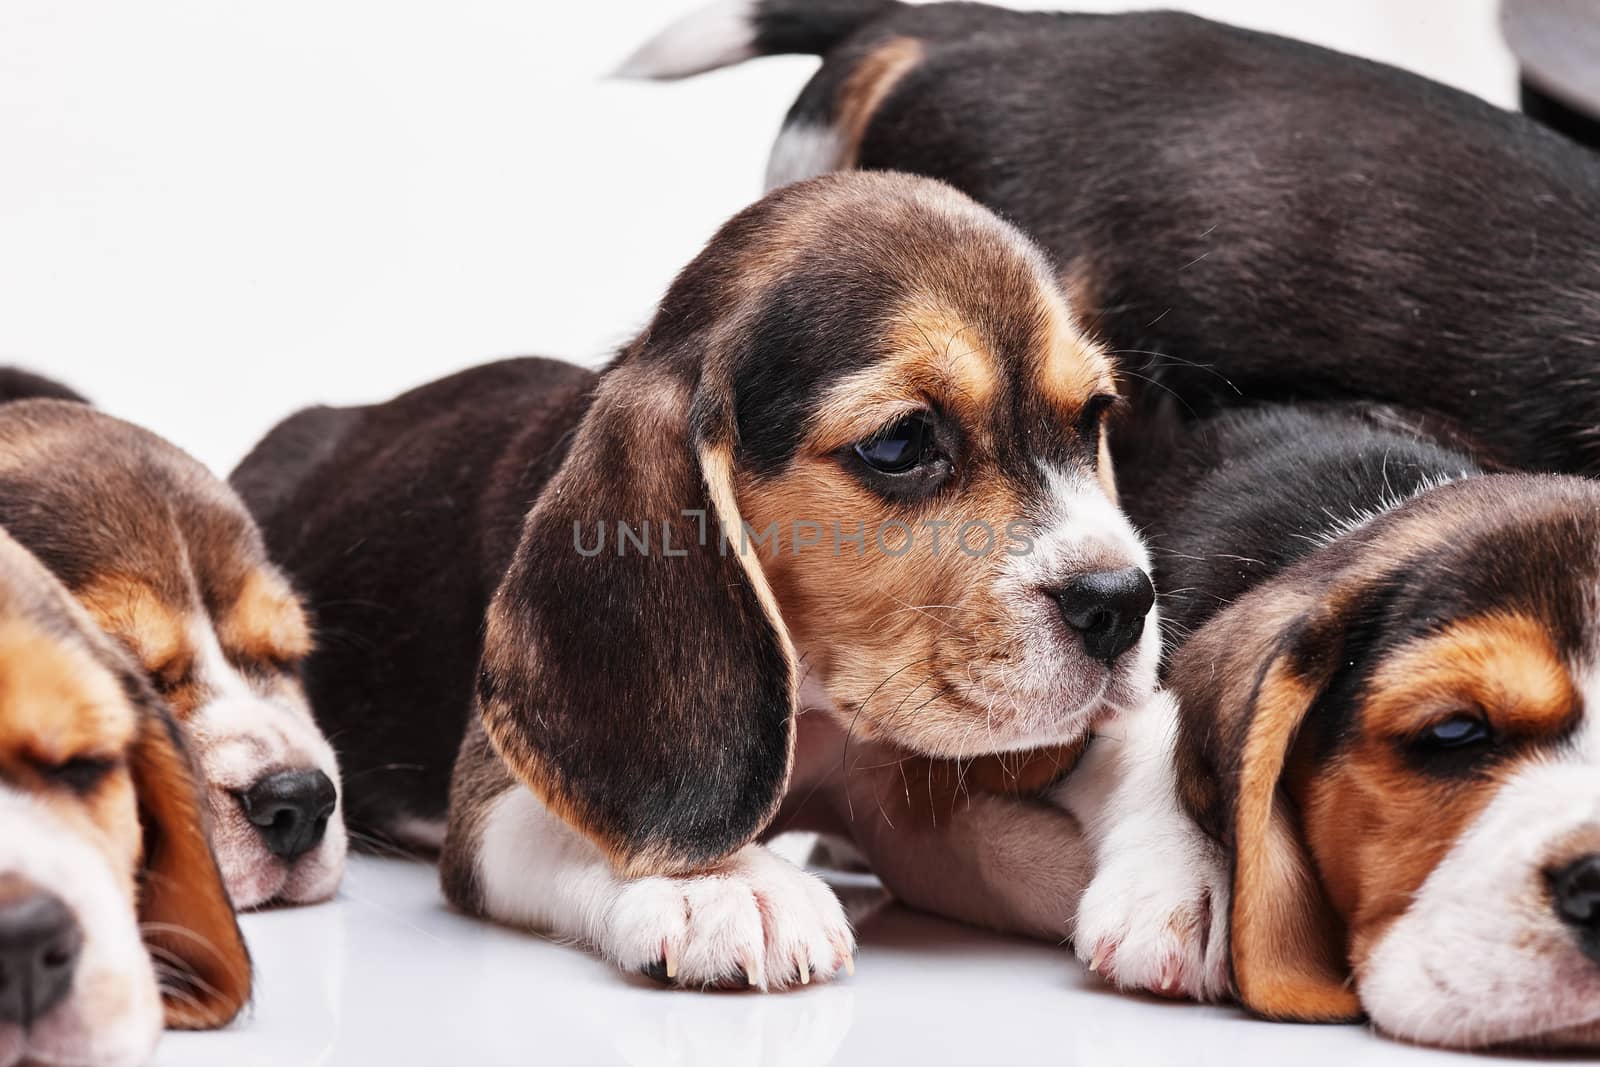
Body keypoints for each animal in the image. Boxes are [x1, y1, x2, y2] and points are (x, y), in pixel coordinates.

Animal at [228, 171, 1222, 998]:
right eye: (901, 442)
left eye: (1092, 416)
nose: (1122, 603)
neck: (819, 710)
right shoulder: (490, 805)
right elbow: (603, 825)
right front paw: (727, 886)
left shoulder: (902, 804)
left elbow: (1113, 770)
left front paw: (1187, 880)